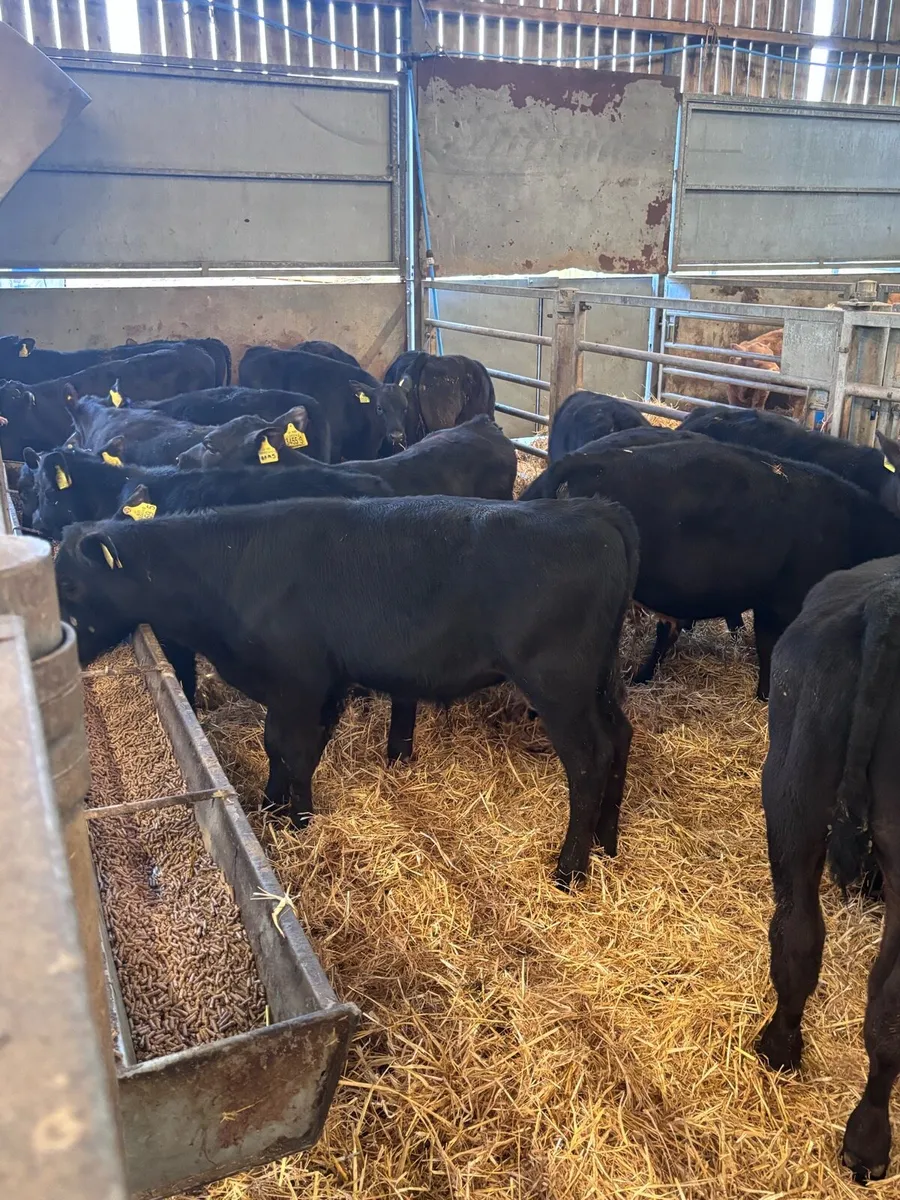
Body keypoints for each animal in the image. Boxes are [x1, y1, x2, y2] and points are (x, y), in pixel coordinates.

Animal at [55, 494, 638, 887]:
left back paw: (570, 869)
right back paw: (606, 843)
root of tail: (592, 512)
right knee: (621, 739)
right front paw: (271, 807)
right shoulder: (307, 688)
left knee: (589, 759)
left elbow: (292, 750)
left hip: (559, 686)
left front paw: (298, 821)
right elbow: (282, 747)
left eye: (69, 585)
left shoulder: (298, 684)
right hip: (597, 684)